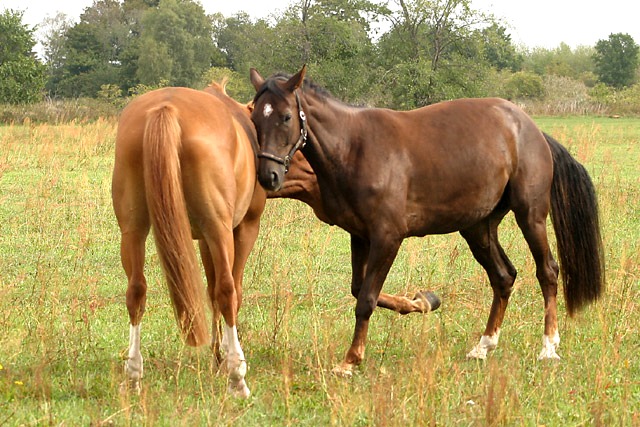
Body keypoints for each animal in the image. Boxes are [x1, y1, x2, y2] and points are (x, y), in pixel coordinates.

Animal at [112, 83, 268, 398]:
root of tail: (166, 108)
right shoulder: (241, 229)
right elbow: (230, 290)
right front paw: (226, 358)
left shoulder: (203, 239)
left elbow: (210, 291)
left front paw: (218, 356)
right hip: (219, 229)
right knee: (227, 290)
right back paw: (238, 378)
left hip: (132, 229)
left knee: (136, 291)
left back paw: (133, 375)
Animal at [249, 66, 604, 378]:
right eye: (254, 118)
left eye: (286, 117)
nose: (268, 176)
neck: (354, 148)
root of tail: (532, 130)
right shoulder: (360, 235)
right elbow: (359, 289)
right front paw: (422, 302)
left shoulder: (388, 237)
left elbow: (365, 299)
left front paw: (350, 361)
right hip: (478, 227)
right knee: (503, 277)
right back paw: (484, 345)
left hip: (530, 216)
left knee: (548, 272)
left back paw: (549, 346)